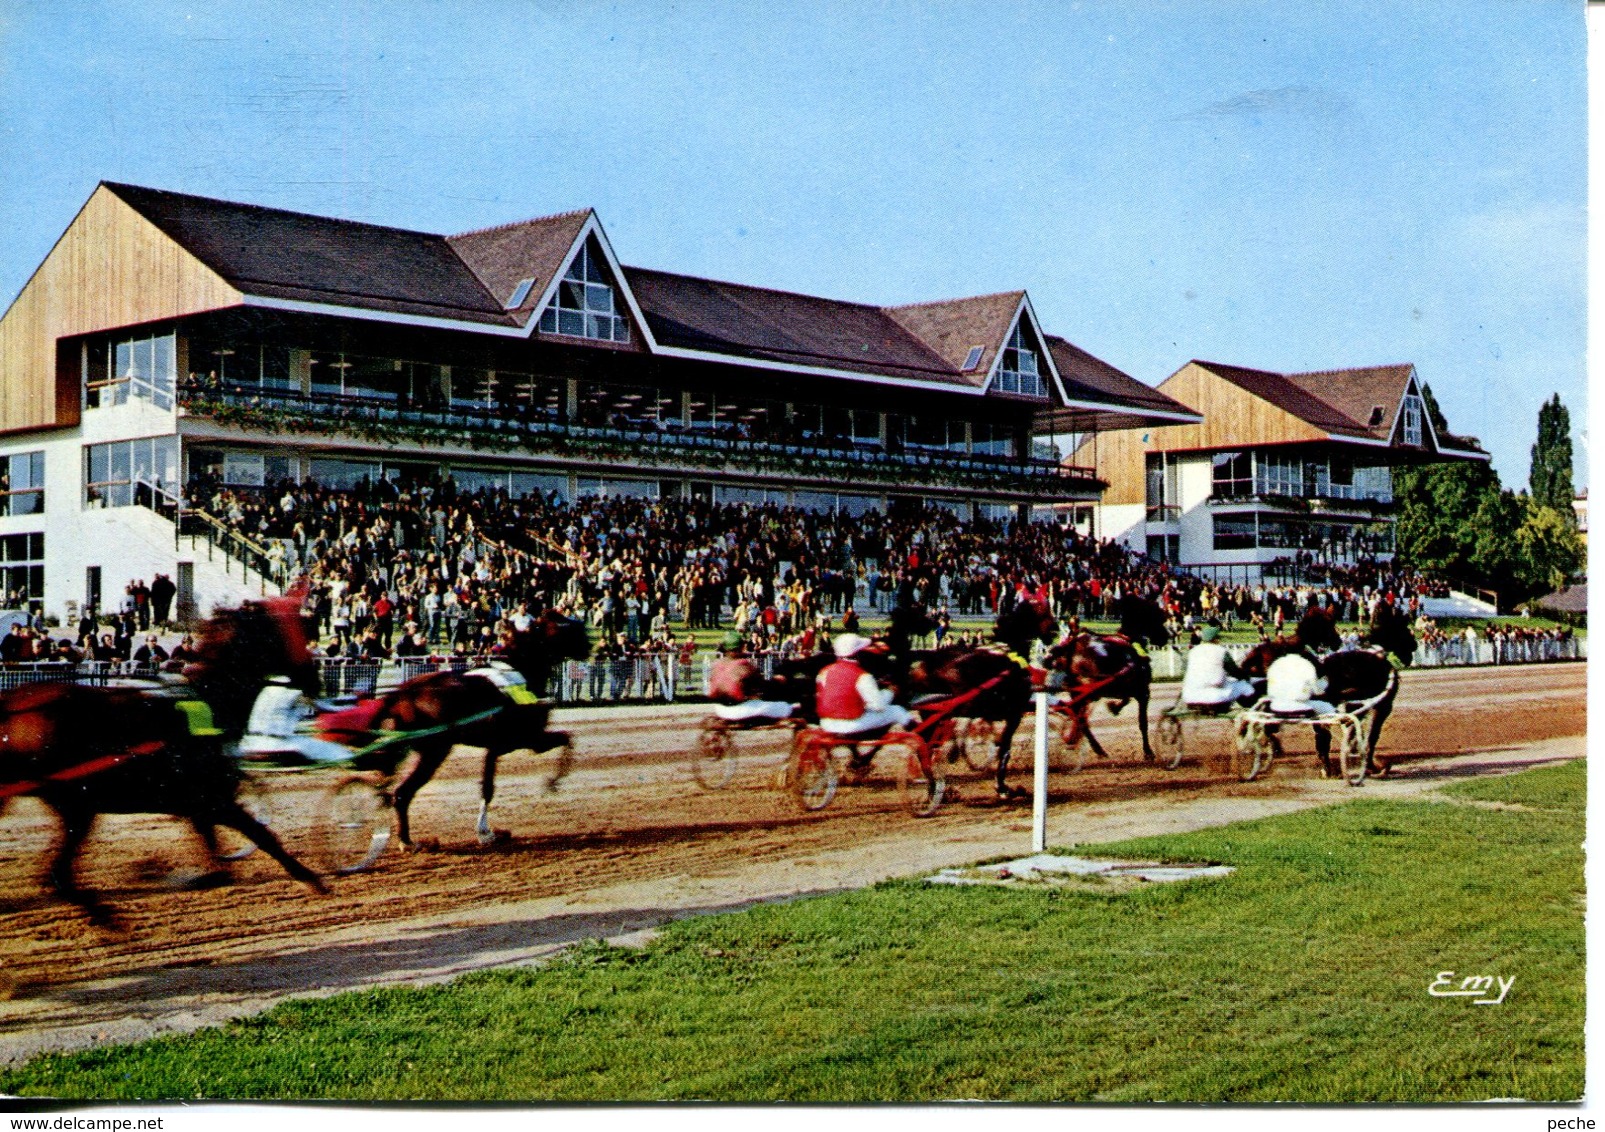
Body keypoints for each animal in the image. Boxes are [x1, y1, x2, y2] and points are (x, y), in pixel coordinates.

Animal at [340, 610, 597, 847]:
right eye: (567, 627)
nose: (589, 646)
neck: (521, 673)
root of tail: (405, 693)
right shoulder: (526, 739)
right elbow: (566, 739)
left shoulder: (498, 747)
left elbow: (488, 786)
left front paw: (488, 831)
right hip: (434, 752)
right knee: (403, 793)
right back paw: (407, 841)